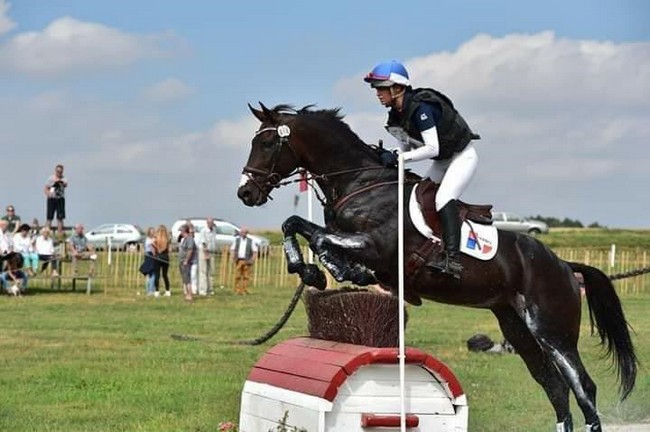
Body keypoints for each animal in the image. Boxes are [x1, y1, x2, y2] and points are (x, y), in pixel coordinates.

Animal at [235, 103, 636, 430]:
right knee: (554, 387)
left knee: (582, 386)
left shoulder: (376, 247)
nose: (245, 193)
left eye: (267, 144)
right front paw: (310, 271)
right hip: (517, 327)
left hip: (552, 329)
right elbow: (294, 225)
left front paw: (336, 271)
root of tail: (565, 266)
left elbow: (318, 239)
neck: (361, 183)